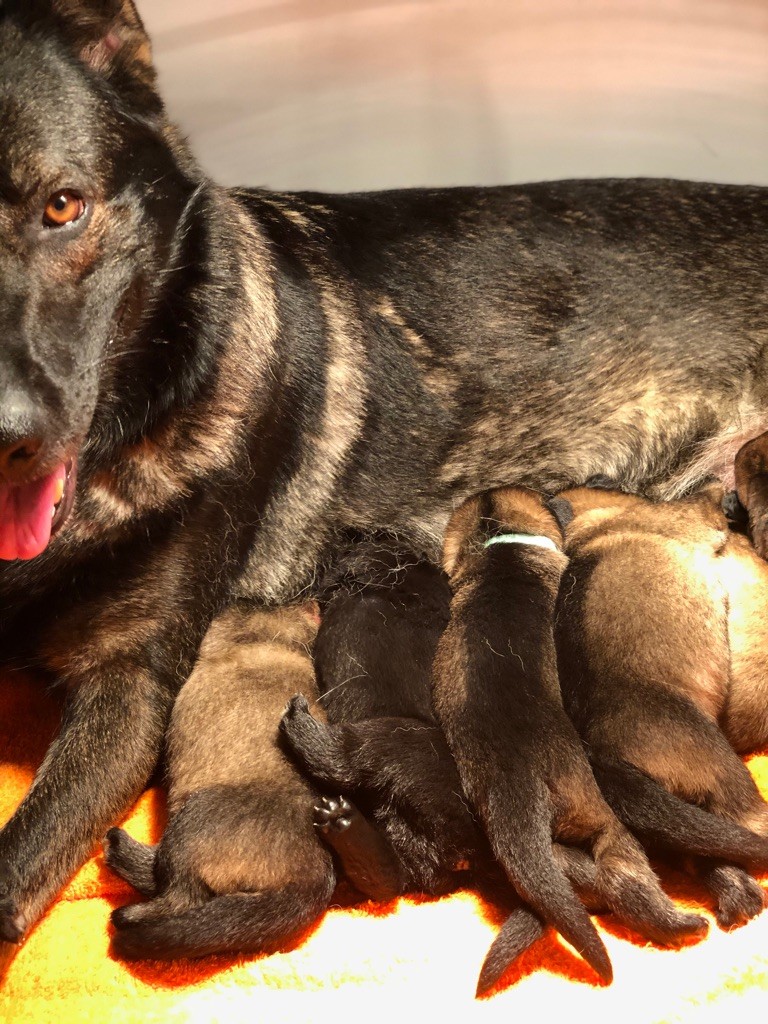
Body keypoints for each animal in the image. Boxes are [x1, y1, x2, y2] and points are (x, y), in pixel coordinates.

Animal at [557, 475, 768, 933]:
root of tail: (604, 758)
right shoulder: (692, 514)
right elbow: (705, 498)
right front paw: (723, 495)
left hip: (672, 823)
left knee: (706, 853)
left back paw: (734, 898)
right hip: (721, 770)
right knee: (750, 825)